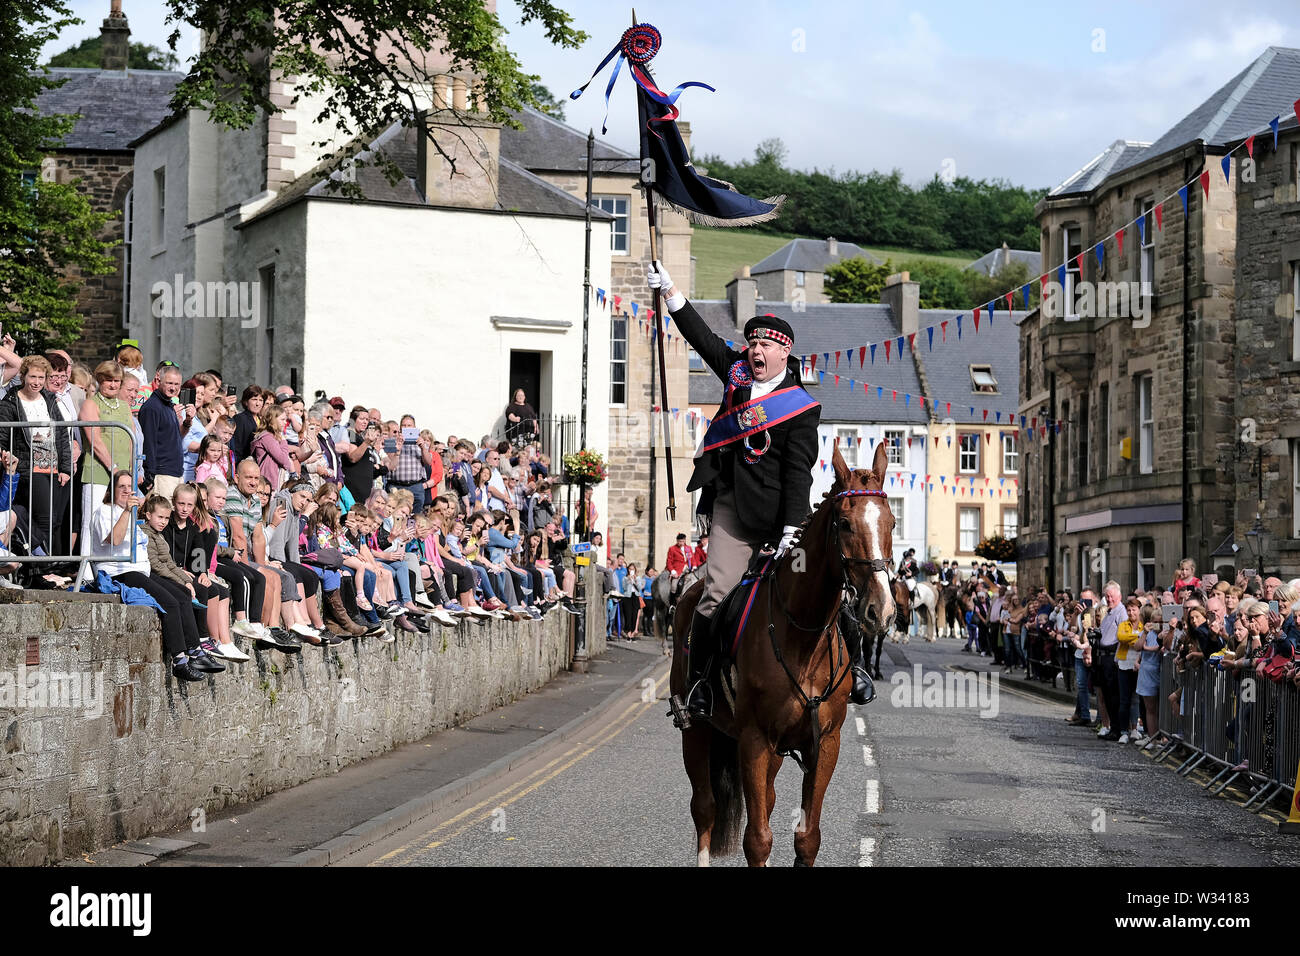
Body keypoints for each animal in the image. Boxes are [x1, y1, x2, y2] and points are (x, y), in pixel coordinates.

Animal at [670, 444, 894, 868]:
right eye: (844, 523)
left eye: (891, 522)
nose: (882, 609)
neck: (803, 634)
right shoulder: (755, 741)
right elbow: (757, 840)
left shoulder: (824, 744)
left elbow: (807, 839)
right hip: (697, 732)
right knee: (704, 808)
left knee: (765, 801)